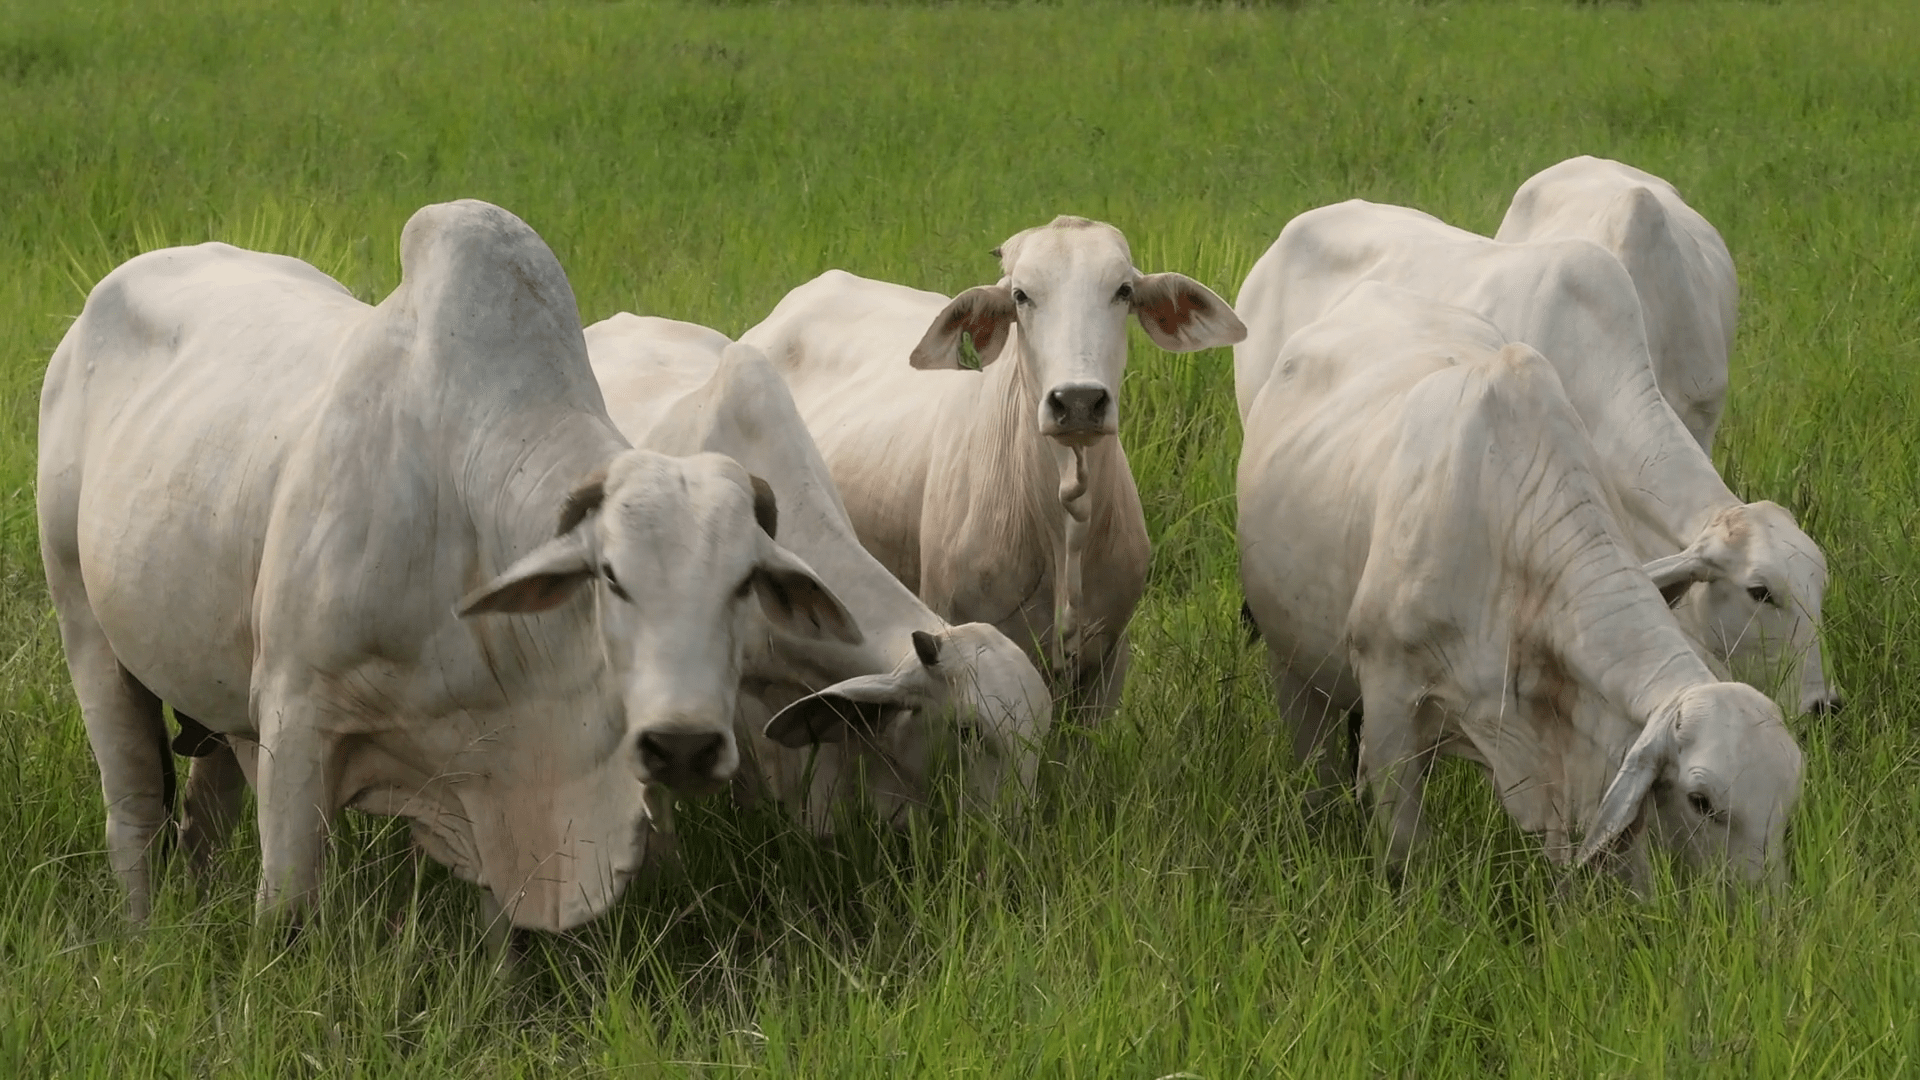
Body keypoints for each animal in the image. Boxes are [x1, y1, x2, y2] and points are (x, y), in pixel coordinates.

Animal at [37, 200, 861, 930]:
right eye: (611, 577)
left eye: (745, 584)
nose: (683, 745)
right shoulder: (296, 715)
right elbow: (288, 911)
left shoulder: (497, 772)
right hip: (87, 628)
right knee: (135, 814)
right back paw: (142, 933)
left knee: (200, 816)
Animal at [1237, 281, 1803, 888]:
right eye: (1703, 802)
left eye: (1787, 805)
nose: (1756, 906)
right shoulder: (1390, 706)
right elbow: (1405, 852)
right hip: (1294, 663)